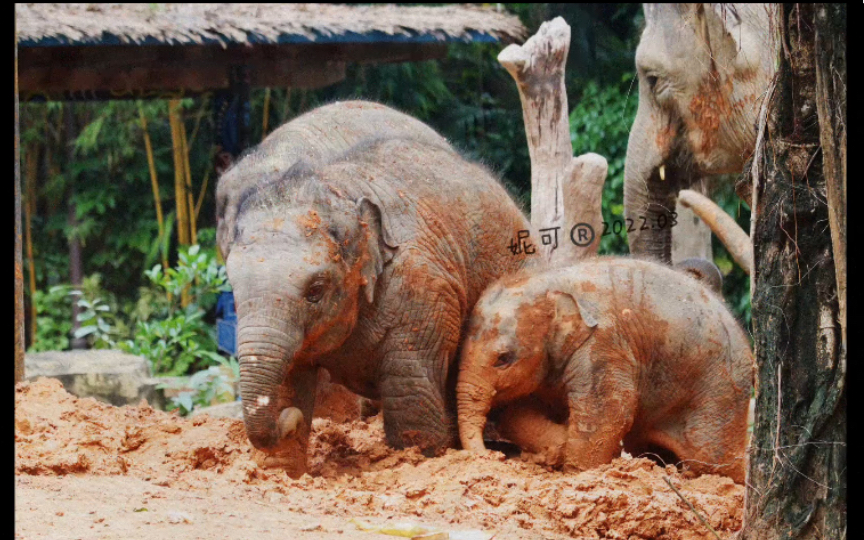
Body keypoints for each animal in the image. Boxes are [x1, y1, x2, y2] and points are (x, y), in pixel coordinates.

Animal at [226, 136, 528, 476]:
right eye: (234, 294)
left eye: (315, 291)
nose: (290, 420)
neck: (341, 191)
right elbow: (290, 382)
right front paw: (279, 473)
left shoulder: (423, 291)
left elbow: (408, 390)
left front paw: (415, 461)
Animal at [456, 256, 752, 480]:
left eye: (503, 358)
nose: (492, 455)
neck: (549, 281)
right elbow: (519, 411)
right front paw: (559, 445)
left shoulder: (603, 345)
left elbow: (611, 408)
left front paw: (577, 472)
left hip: (720, 392)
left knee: (710, 456)